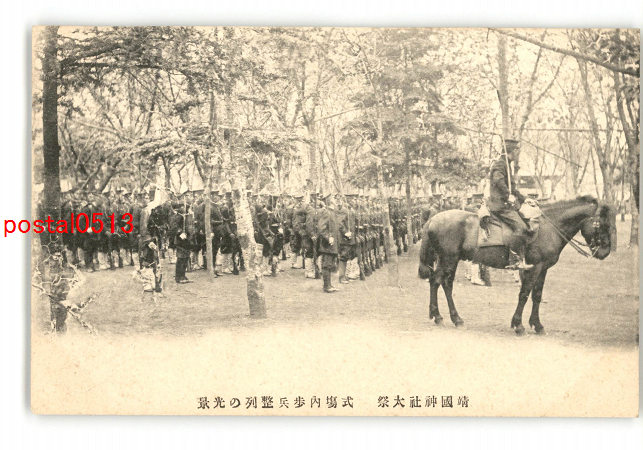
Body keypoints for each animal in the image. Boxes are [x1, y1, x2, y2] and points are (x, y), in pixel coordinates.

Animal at [418, 196, 612, 335]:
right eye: (601, 224)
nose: (605, 252)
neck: (548, 228)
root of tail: (433, 219)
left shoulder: (543, 270)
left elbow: (537, 295)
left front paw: (537, 325)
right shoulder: (534, 268)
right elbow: (524, 294)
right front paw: (518, 325)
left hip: (450, 260)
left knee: (445, 284)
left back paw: (452, 318)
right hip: (448, 259)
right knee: (437, 281)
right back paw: (440, 317)